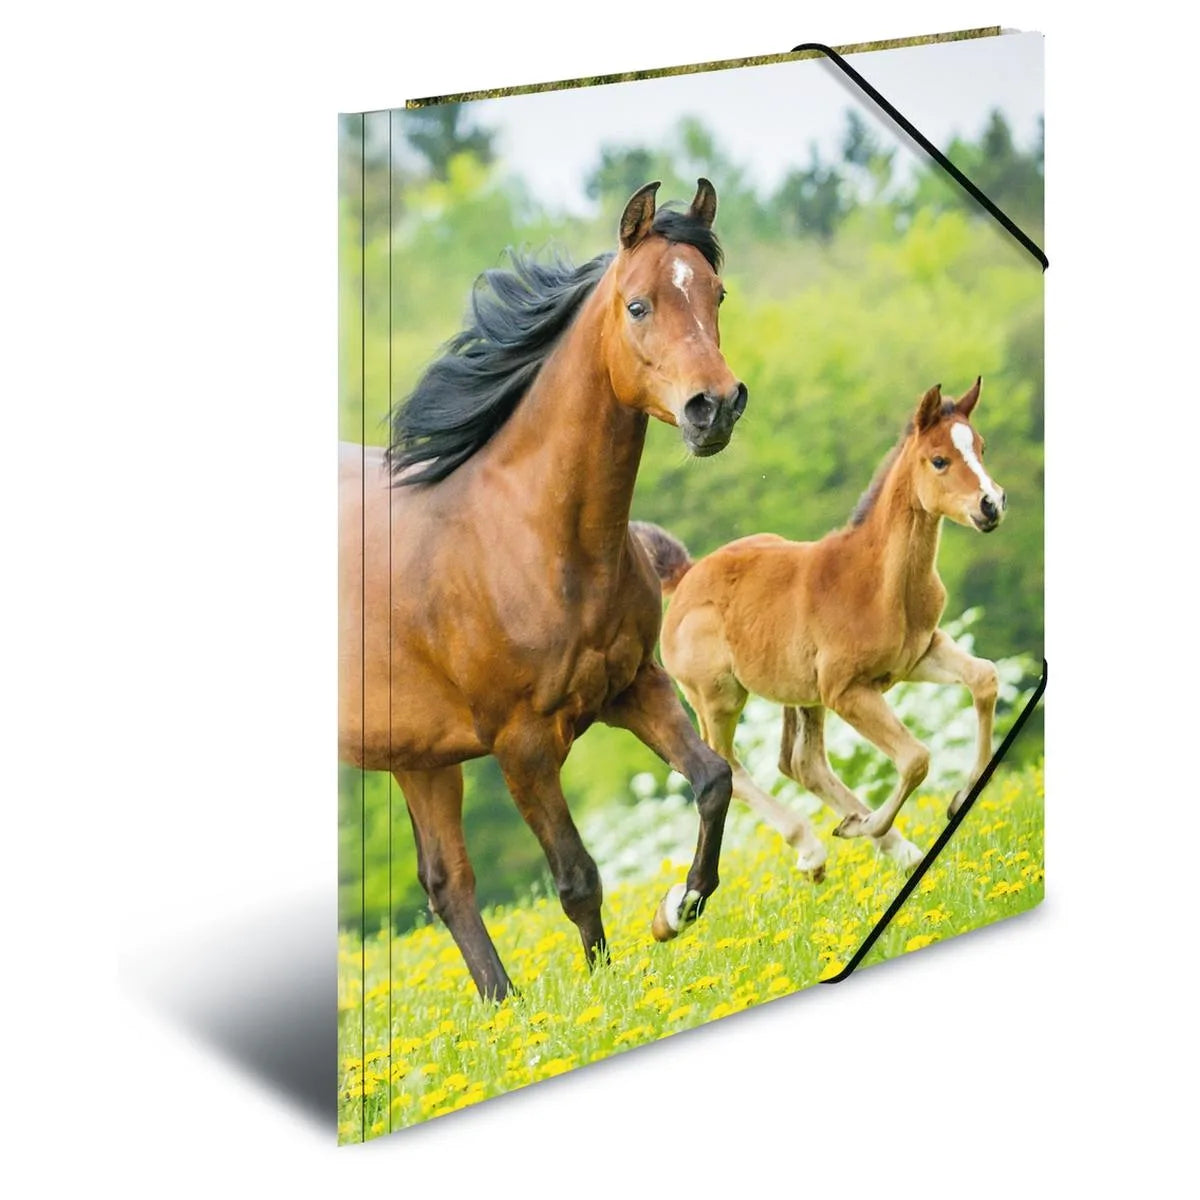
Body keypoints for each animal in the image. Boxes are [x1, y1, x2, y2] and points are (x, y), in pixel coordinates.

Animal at [339, 180, 749, 1001]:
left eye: (716, 292)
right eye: (638, 305)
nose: (714, 407)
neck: (528, 537)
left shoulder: (634, 687)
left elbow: (714, 780)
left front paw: (676, 909)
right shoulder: (522, 745)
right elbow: (577, 876)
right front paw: (604, 993)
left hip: (418, 758)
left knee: (447, 884)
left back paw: (505, 1009)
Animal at [635, 378, 1005, 879]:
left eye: (981, 447)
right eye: (939, 460)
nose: (992, 505)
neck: (880, 581)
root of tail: (686, 576)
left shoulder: (921, 653)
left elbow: (985, 679)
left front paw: (958, 798)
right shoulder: (845, 690)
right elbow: (916, 758)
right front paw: (867, 825)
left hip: (799, 693)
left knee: (800, 763)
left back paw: (893, 846)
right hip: (718, 697)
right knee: (728, 764)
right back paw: (814, 848)